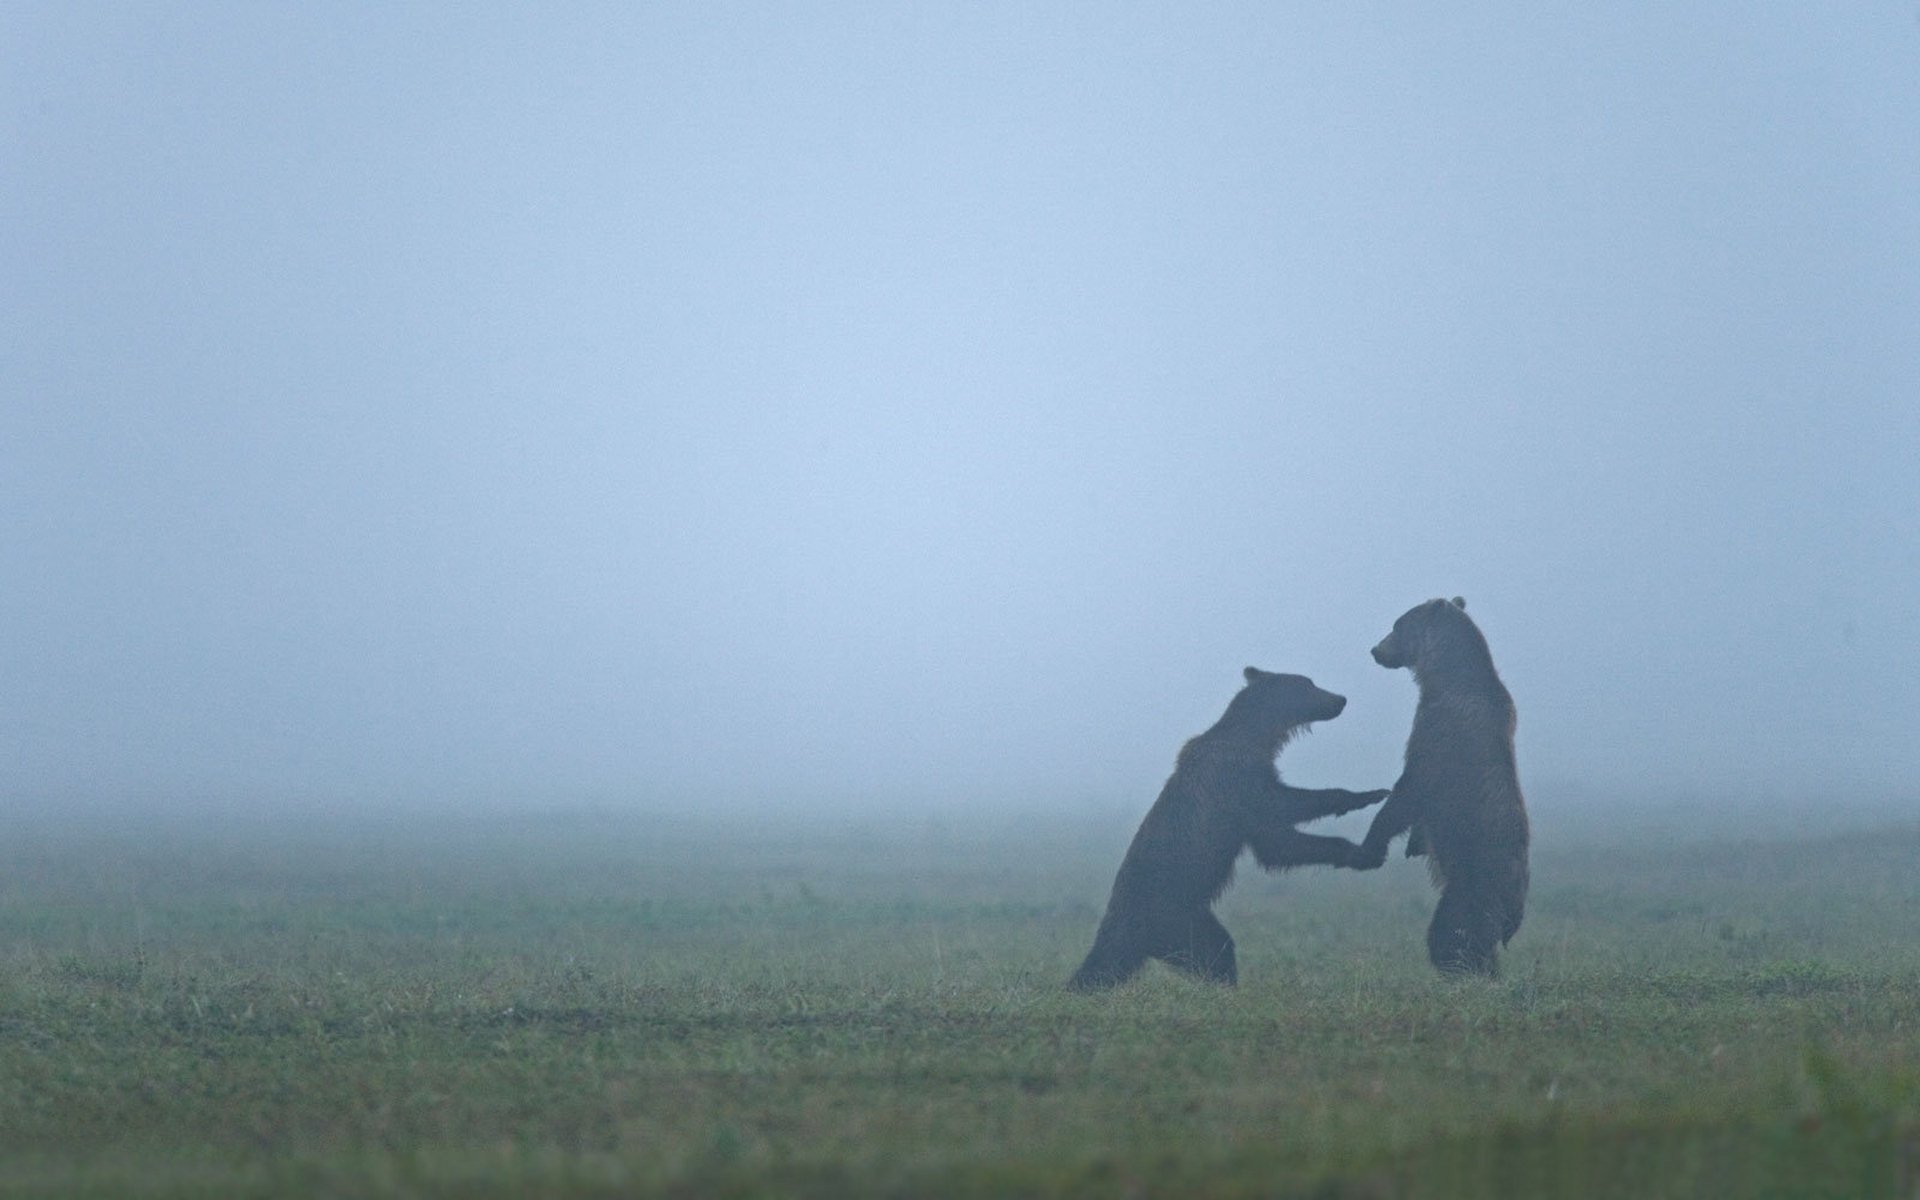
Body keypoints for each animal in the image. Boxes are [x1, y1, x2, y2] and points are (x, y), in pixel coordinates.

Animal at [1351, 595, 1528, 979]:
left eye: (1397, 624)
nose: (1375, 650)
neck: (1444, 676)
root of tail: (1515, 909)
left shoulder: (1439, 730)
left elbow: (1408, 790)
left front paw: (1370, 846)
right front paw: (1414, 844)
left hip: (1473, 881)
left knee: (1452, 933)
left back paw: (1465, 971)